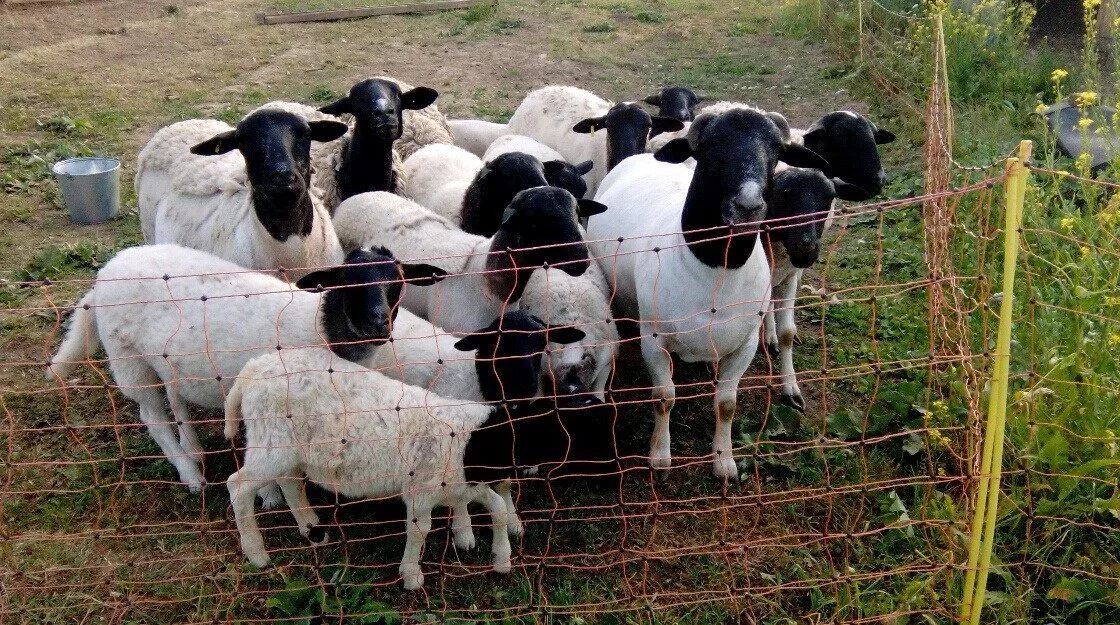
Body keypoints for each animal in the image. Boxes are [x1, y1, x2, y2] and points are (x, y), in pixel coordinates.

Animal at [44, 245, 445, 495]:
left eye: (398, 283)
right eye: (346, 282)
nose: (378, 324)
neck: (323, 328)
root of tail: (106, 271)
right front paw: (270, 494)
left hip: (164, 357)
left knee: (175, 394)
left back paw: (193, 449)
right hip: (129, 360)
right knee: (152, 416)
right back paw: (189, 473)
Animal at [586, 109, 833, 479]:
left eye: (776, 152)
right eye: (708, 150)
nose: (749, 205)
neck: (716, 270)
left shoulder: (745, 345)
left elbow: (727, 404)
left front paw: (724, 462)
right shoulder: (654, 341)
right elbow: (664, 396)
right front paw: (660, 459)